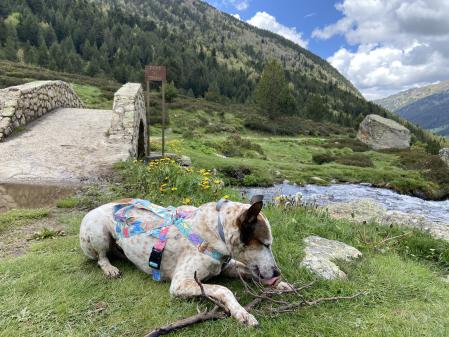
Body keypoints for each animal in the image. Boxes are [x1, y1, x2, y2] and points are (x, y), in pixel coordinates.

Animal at [79, 197, 290, 326]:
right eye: (265, 244)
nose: (277, 272)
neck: (216, 232)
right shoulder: (181, 283)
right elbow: (224, 289)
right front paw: (242, 313)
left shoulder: (226, 266)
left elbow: (247, 270)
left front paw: (280, 284)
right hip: (98, 233)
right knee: (101, 257)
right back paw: (109, 268)